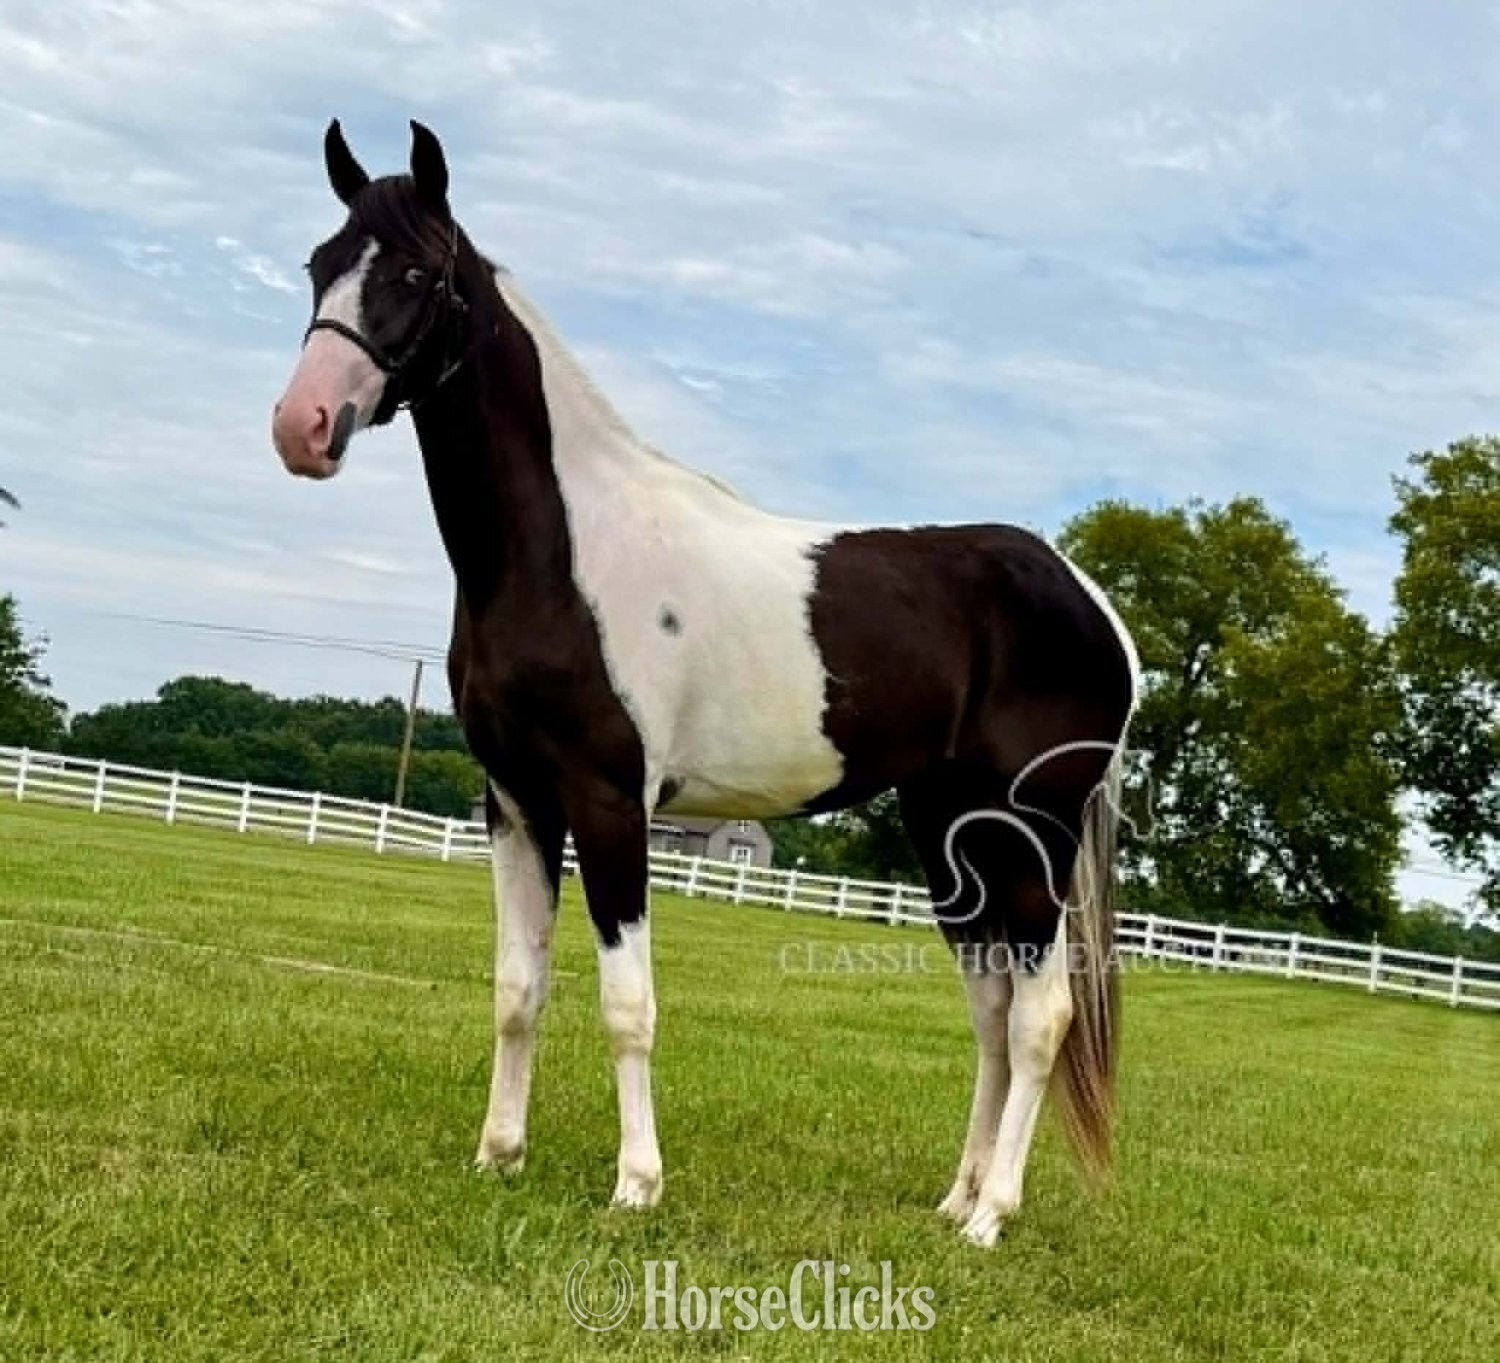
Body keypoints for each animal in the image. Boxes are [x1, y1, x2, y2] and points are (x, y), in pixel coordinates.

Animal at [271, 121, 1138, 1248]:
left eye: (417, 274)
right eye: (320, 265)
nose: (303, 425)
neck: (563, 550)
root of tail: (1092, 602)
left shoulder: (609, 802)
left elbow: (626, 1003)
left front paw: (637, 1183)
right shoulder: (515, 803)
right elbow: (517, 986)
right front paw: (498, 1157)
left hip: (1030, 836)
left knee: (1040, 1017)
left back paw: (992, 1216)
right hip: (950, 831)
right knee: (991, 1013)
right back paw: (954, 1200)